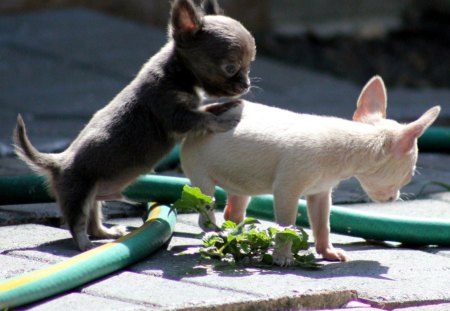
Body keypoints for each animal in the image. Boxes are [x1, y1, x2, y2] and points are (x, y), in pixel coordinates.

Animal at [12, 0, 255, 251]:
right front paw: (224, 121)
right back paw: (86, 245)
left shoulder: (188, 108)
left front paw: (226, 106)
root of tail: (57, 162)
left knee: (93, 219)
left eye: (249, 66)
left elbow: (205, 109)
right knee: (77, 223)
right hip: (78, 192)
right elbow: (202, 118)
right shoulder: (174, 114)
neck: (177, 73)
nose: (246, 84)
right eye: (230, 67)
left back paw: (106, 233)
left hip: (94, 195)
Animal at [179, 76, 440, 266]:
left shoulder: (320, 193)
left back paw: (235, 235)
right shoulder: (286, 191)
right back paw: (215, 235)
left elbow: (322, 223)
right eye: (408, 177)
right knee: (207, 209)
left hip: (241, 182)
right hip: (201, 180)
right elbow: (287, 227)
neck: (353, 143)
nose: (395, 197)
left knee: (234, 210)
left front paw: (328, 252)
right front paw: (283, 257)